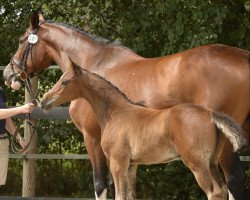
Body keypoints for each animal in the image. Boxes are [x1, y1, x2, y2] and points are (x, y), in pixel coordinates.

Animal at [41, 67, 246, 200]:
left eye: (65, 81)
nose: (44, 101)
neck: (116, 112)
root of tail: (210, 114)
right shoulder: (132, 165)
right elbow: (130, 196)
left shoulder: (117, 163)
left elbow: (120, 196)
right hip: (211, 162)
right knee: (223, 190)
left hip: (197, 164)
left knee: (214, 192)